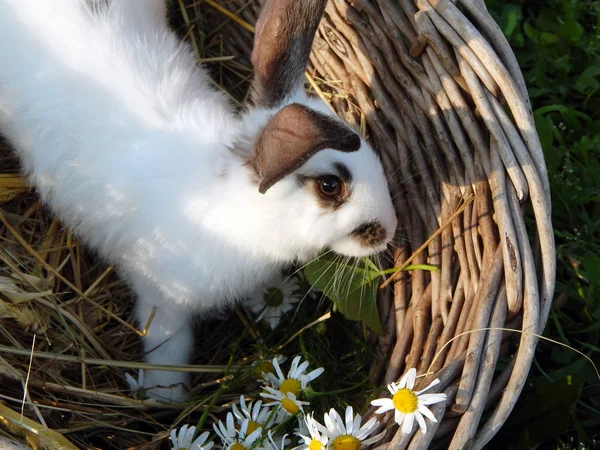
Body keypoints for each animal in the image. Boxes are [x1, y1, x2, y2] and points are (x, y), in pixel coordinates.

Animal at [0, 0, 398, 400]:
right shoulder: (162, 301)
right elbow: (169, 346)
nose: (389, 230)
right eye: (330, 186)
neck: (232, 207)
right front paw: (166, 396)